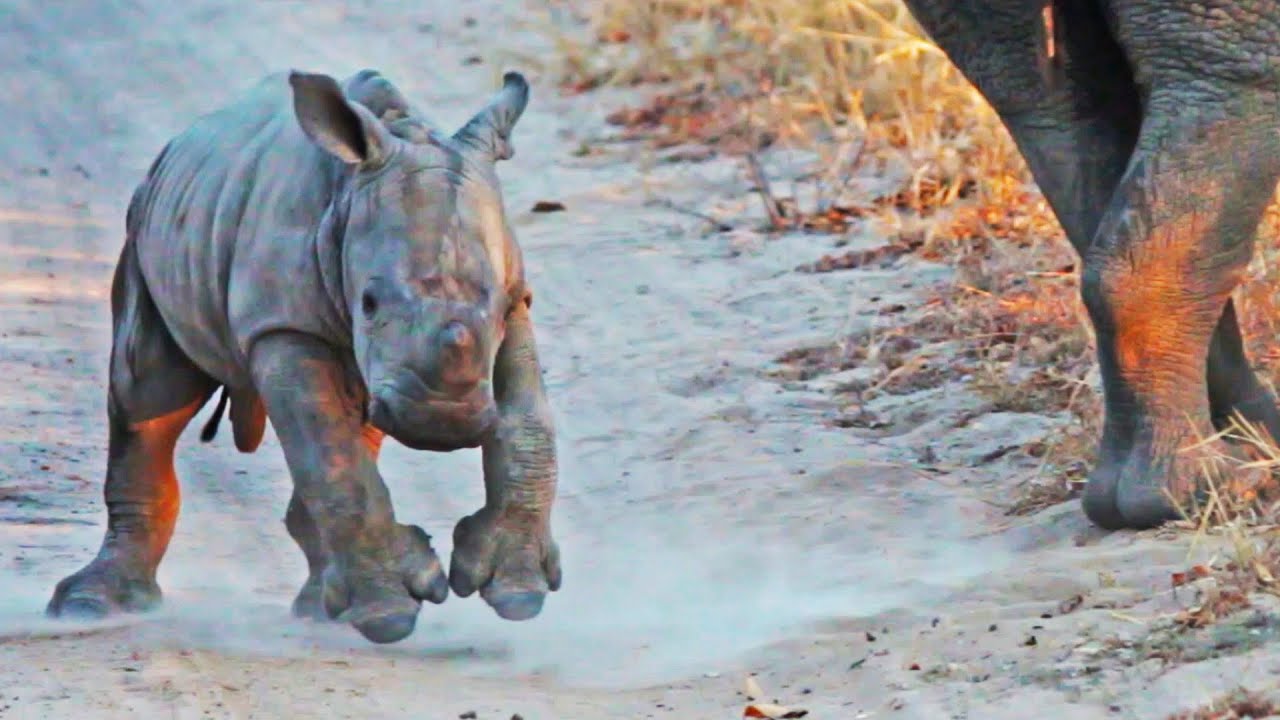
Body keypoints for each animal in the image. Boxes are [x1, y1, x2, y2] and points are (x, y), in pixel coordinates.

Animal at [45, 68, 561, 644]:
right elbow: (330, 457)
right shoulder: (280, 324)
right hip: (144, 228)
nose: (441, 423)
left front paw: (517, 592)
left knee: (356, 415)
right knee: (149, 396)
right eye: (369, 302)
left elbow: (529, 425)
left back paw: (323, 607)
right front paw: (387, 615)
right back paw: (91, 606)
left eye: (495, 307)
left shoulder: (515, 298)